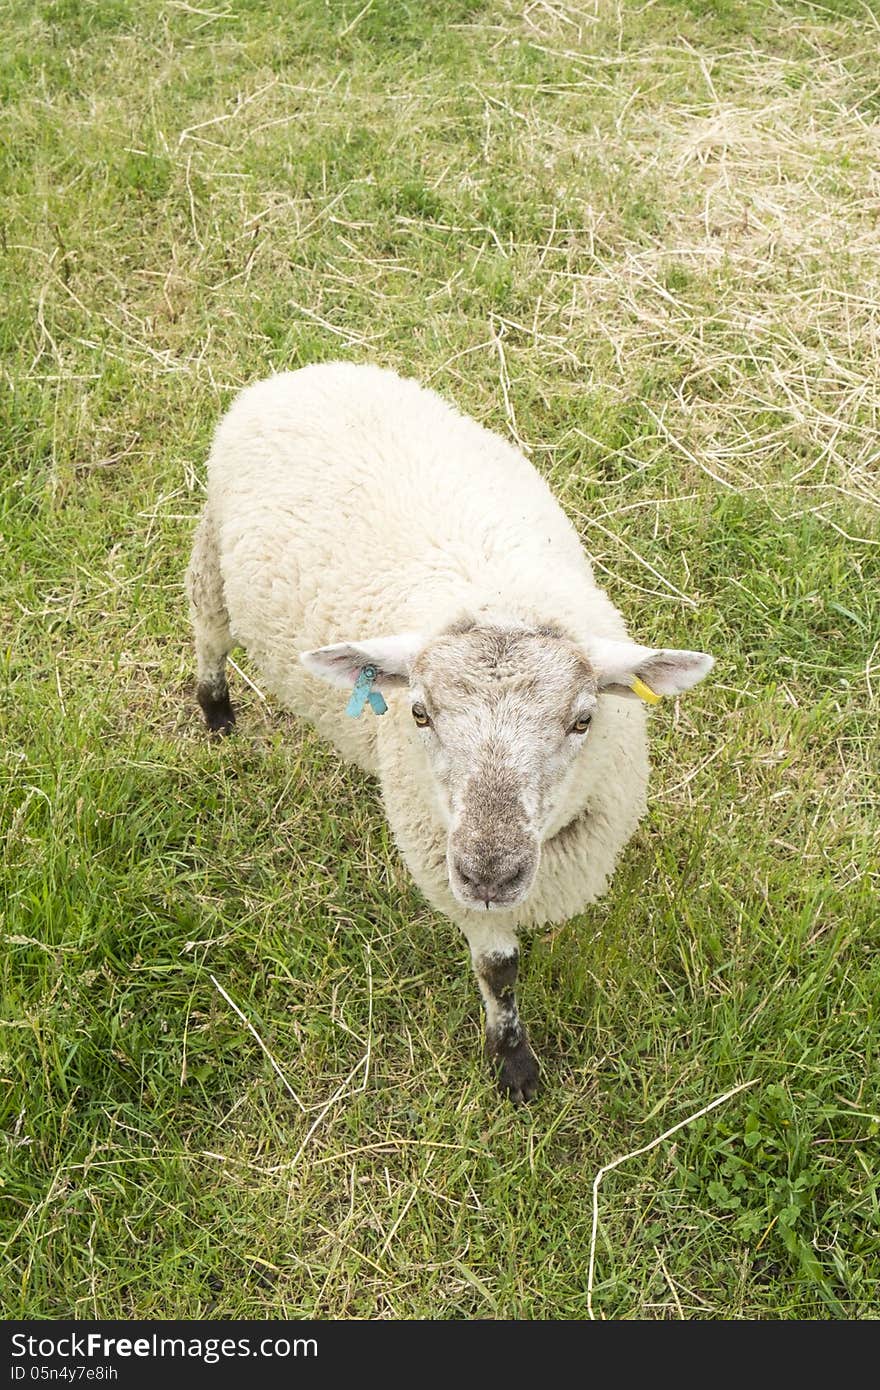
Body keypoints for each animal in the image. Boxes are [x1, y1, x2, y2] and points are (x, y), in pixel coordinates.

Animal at [187, 364, 711, 1100]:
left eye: (583, 719)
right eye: (419, 713)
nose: (490, 871)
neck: (499, 589)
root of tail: (304, 371)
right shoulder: (456, 881)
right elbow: (499, 972)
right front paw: (514, 1064)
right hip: (212, 553)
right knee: (209, 634)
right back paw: (216, 712)